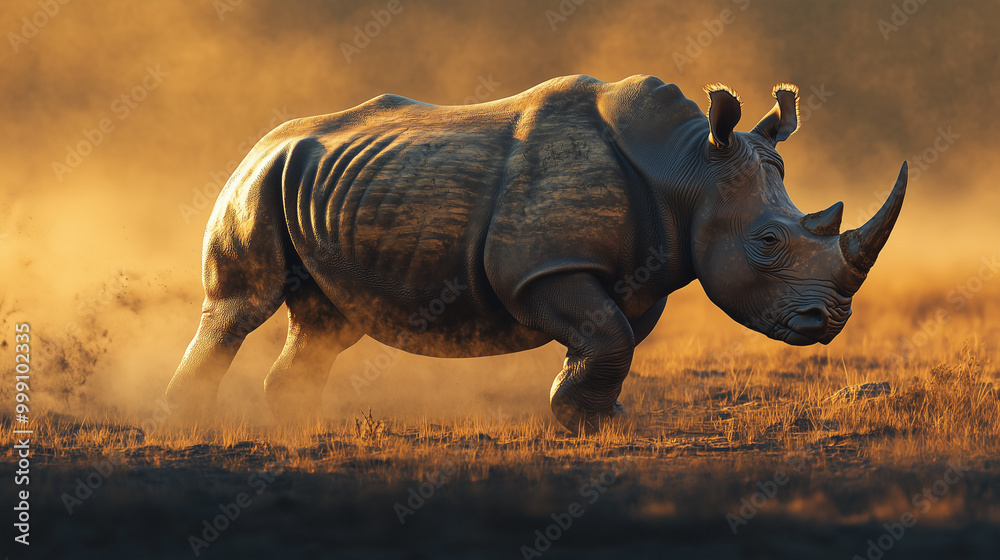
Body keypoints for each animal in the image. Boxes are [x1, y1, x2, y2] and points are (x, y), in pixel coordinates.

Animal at [166, 75, 906, 434]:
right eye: (768, 242)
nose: (827, 322)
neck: (689, 169)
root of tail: (261, 141)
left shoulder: (643, 275)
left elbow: (615, 336)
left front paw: (600, 418)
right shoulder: (536, 267)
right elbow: (608, 334)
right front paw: (576, 422)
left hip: (324, 188)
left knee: (326, 324)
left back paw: (298, 424)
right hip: (257, 182)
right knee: (241, 306)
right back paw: (190, 423)